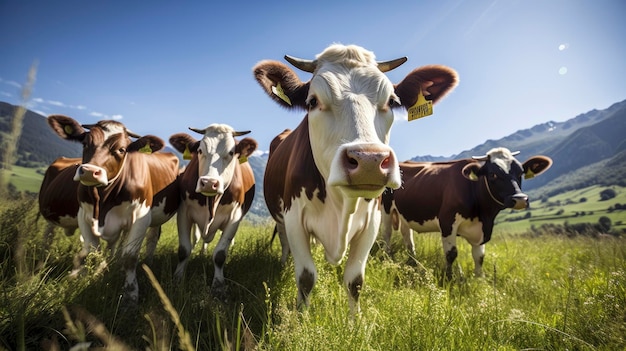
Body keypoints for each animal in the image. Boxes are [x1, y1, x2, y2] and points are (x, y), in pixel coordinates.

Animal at [45, 115, 178, 306]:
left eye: (121, 150)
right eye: (85, 143)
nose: (89, 171)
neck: (103, 201)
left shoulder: (141, 217)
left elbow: (130, 257)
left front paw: (130, 295)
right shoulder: (84, 216)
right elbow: (93, 252)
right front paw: (93, 276)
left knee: (151, 239)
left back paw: (147, 263)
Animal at [167, 124, 258, 294]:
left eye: (231, 152)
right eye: (200, 150)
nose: (209, 183)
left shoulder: (235, 216)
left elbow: (220, 255)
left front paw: (218, 285)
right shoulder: (184, 211)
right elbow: (184, 250)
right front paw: (177, 279)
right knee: (198, 238)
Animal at [251, 43, 456, 314]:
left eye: (391, 101)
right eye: (312, 101)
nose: (369, 160)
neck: (340, 204)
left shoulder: (371, 223)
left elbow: (355, 281)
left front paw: (355, 321)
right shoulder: (294, 218)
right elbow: (305, 277)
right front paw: (301, 317)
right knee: (284, 243)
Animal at [380, 148, 552, 280]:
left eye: (521, 173)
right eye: (493, 174)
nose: (520, 199)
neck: (483, 214)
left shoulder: (483, 230)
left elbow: (479, 257)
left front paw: (479, 281)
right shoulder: (447, 221)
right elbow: (451, 254)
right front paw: (449, 278)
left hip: (405, 212)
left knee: (407, 234)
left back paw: (413, 260)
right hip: (386, 207)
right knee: (387, 233)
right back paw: (387, 256)